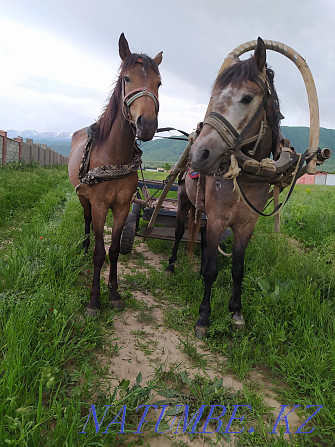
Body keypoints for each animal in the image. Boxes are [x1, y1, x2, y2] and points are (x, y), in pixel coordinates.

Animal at [68, 33, 163, 316]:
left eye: (159, 83)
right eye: (126, 78)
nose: (147, 124)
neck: (114, 157)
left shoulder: (122, 206)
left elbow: (114, 250)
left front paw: (114, 292)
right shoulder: (100, 204)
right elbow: (100, 252)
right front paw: (94, 300)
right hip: (83, 197)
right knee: (87, 219)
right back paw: (84, 245)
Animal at [167, 38, 282, 338]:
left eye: (247, 98)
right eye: (215, 96)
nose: (200, 153)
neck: (246, 177)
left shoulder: (246, 224)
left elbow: (238, 268)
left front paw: (236, 312)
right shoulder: (218, 219)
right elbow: (211, 269)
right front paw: (204, 317)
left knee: (202, 235)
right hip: (184, 202)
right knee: (180, 232)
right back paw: (171, 265)